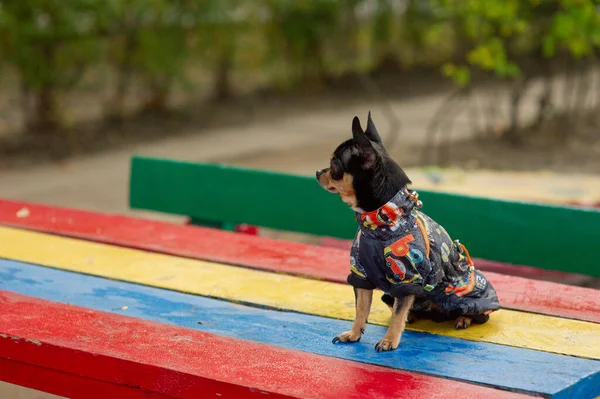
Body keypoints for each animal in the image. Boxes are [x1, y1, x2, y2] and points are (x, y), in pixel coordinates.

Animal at [316, 113, 500, 354]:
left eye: (334, 166)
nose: (318, 172)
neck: (383, 220)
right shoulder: (361, 274)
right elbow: (361, 309)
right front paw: (354, 334)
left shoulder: (407, 278)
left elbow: (396, 316)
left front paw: (389, 340)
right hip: (389, 295)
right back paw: (413, 314)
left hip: (464, 292)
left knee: (476, 312)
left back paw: (463, 318)